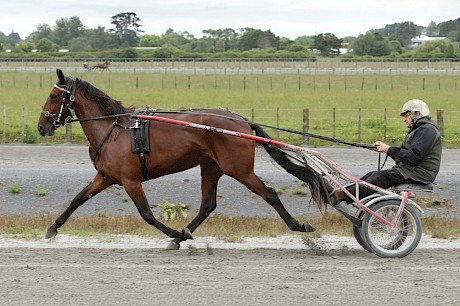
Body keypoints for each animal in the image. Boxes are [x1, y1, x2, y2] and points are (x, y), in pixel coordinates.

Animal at [38, 68, 328, 249]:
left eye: (53, 96)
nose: (41, 127)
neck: (114, 129)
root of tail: (241, 121)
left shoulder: (131, 180)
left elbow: (146, 214)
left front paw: (174, 231)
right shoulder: (106, 177)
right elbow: (77, 199)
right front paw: (52, 228)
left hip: (239, 170)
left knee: (269, 194)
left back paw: (298, 225)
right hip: (211, 167)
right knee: (208, 205)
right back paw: (183, 236)